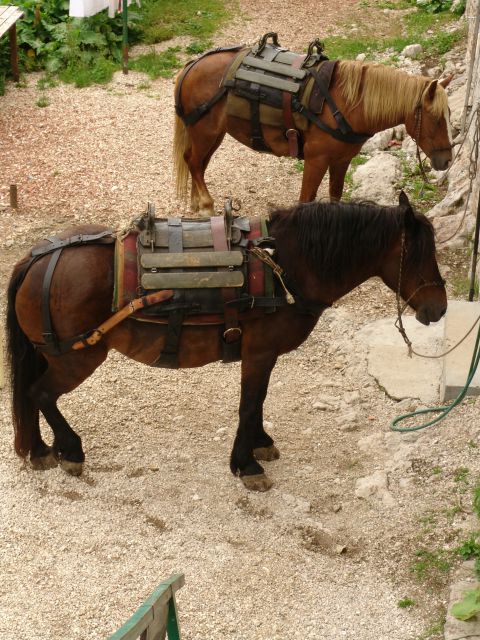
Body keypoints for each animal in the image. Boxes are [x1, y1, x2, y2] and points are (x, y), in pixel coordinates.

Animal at [5, 192, 446, 492]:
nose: (439, 308)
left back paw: (42, 449)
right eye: (418, 254)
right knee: (40, 393)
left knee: (32, 395)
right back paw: (70, 450)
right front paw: (246, 464)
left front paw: (260, 444)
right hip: (78, 357)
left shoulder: (262, 355)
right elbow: (249, 404)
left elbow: (258, 401)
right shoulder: (259, 352)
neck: (285, 266)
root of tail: (39, 257)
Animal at [174, 53, 452, 214]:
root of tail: (192, 65)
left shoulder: (341, 161)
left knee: (197, 163)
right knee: (194, 162)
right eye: (437, 118)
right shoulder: (316, 160)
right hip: (205, 132)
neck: (344, 105)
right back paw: (206, 206)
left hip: (213, 134)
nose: (447, 160)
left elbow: (335, 195)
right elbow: (306, 199)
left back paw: (197, 204)